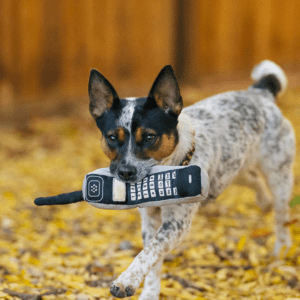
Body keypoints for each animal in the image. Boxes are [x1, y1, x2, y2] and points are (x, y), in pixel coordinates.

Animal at [87, 59, 296, 298]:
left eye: (150, 137)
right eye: (112, 138)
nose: (125, 172)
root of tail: (259, 93)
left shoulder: (176, 224)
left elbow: (148, 253)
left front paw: (126, 281)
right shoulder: (150, 219)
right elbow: (153, 258)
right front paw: (149, 293)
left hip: (279, 175)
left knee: (281, 216)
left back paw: (282, 246)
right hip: (232, 169)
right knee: (252, 180)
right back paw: (264, 201)